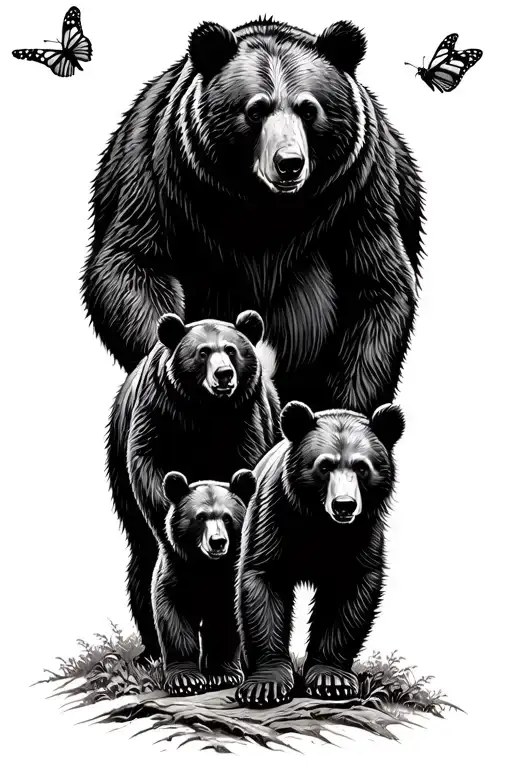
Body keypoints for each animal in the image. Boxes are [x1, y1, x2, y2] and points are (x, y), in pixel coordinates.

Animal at [82, 16, 423, 416]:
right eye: (255, 109)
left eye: (309, 109)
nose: (289, 163)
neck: (262, 206)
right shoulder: (162, 175)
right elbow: (134, 261)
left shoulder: (359, 188)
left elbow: (375, 285)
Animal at [107, 309, 279, 660]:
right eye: (202, 352)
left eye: (231, 350)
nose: (224, 375)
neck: (205, 410)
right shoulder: (159, 410)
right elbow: (148, 464)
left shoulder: (246, 418)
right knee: (143, 557)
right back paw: (151, 651)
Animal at [153, 469, 256, 695]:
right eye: (200, 517)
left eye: (227, 518)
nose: (218, 542)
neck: (208, 567)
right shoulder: (176, 571)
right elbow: (175, 619)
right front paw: (186, 680)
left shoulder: (229, 580)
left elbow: (224, 621)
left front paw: (223, 675)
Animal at [235, 400, 405, 708]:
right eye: (325, 465)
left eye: (362, 467)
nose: (344, 505)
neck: (320, 525)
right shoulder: (274, 519)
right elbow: (264, 583)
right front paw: (265, 685)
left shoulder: (362, 534)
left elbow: (349, 595)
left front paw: (331, 680)